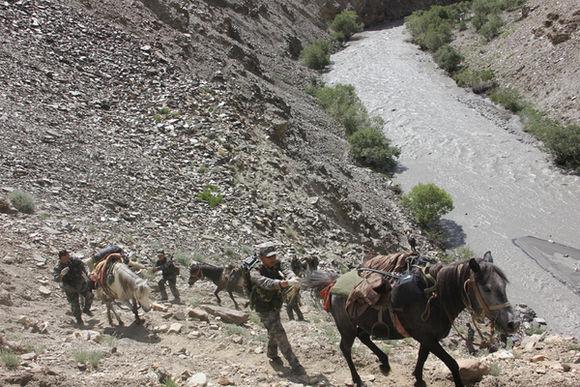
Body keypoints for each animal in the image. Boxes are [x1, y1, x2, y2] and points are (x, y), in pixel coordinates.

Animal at [304, 252, 520, 387]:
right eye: (487, 288)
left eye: (504, 286)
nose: (513, 323)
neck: (435, 299)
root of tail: (333, 283)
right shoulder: (427, 338)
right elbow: (452, 363)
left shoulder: (428, 339)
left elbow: (422, 358)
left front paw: (418, 378)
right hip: (346, 326)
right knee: (346, 348)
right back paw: (358, 379)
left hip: (368, 323)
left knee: (363, 337)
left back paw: (384, 361)